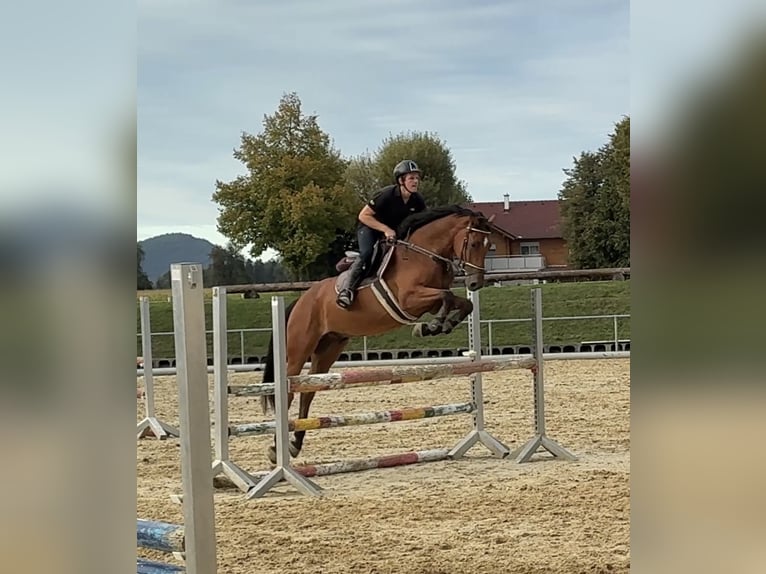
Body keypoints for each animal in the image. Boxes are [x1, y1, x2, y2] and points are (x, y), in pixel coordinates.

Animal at [260, 205, 496, 463]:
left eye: (488, 245)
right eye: (474, 243)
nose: (475, 284)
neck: (424, 254)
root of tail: (300, 301)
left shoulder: (429, 302)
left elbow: (462, 303)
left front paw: (439, 325)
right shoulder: (409, 299)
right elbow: (446, 296)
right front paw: (432, 326)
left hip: (329, 348)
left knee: (308, 391)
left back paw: (295, 444)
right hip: (299, 349)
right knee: (289, 391)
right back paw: (276, 449)